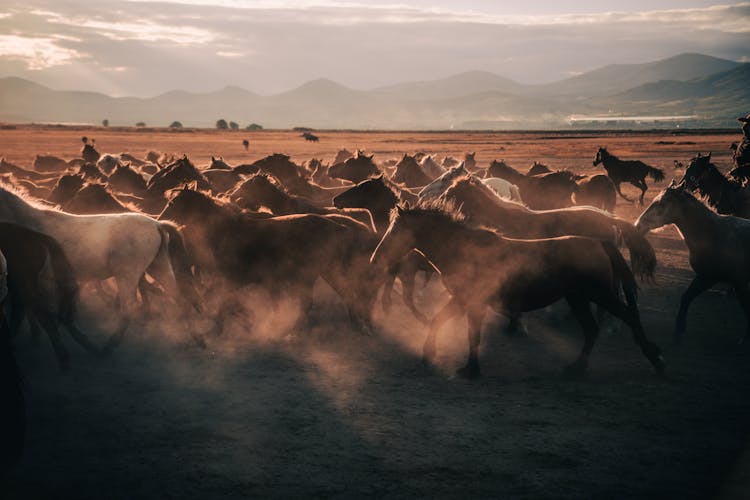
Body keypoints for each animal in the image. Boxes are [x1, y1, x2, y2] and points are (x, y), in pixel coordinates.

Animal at [0, 186, 200, 350]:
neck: (27, 227)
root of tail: (157, 224)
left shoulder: (38, 280)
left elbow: (43, 312)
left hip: (127, 275)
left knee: (129, 308)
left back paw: (109, 345)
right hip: (158, 268)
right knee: (180, 299)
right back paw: (194, 339)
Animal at [370, 204, 664, 378]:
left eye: (396, 231)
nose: (376, 260)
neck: (461, 248)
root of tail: (600, 243)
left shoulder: (471, 302)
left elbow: (471, 334)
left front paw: (469, 369)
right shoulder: (463, 300)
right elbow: (439, 321)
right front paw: (429, 355)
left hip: (599, 294)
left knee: (627, 317)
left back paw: (655, 357)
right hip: (577, 298)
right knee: (591, 329)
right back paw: (576, 367)